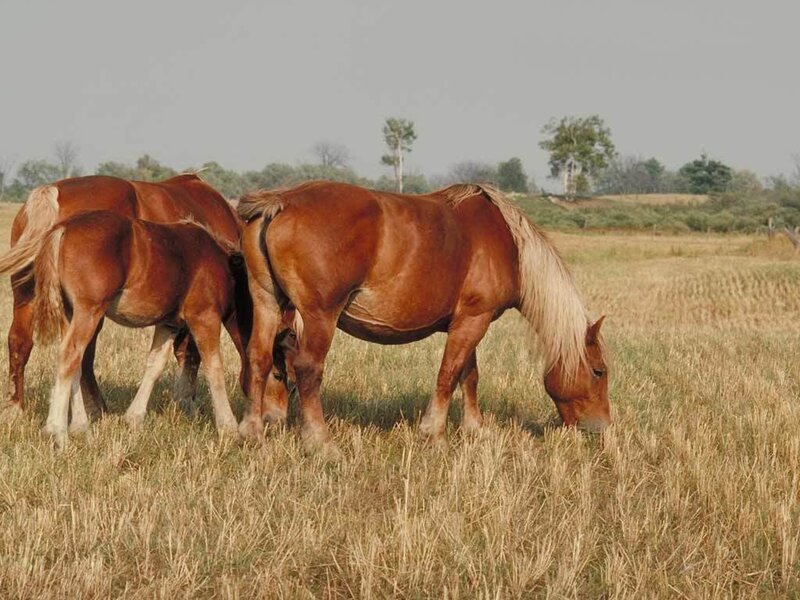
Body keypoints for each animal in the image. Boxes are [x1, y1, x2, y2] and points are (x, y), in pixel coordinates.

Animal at [0, 174, 247, 420]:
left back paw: (16, 408)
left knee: (20, 342)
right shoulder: (198, 311)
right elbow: (192, 355)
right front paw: (189, 405)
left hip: (29, 296)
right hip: (88, 311)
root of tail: (52, 192)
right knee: (80, 356)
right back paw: (94, 410)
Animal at [16, 210, 259, 450]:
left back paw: (80, 427)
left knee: (76, 362)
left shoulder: (168, 324)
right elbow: (214, 367)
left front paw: (134, 418)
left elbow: (155, 365)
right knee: (70, 355)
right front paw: (228, 428)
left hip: (70, 312)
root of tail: (63, 228)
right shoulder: (204, 317)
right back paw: (57, 432)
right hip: (88, 311)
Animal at [235, 181, 609, 453]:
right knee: (308, 371)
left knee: (258, 359)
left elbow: (468, 376)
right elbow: (448, 376)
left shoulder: (467, 321)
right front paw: (434, 434)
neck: (507, 242)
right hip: (320, 316)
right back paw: (321, 443)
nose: (601, 427)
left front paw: (476, 430)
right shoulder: (473, 321)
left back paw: (252, 432)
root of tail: (281, 201)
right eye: (599, 371)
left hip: (267, 304)